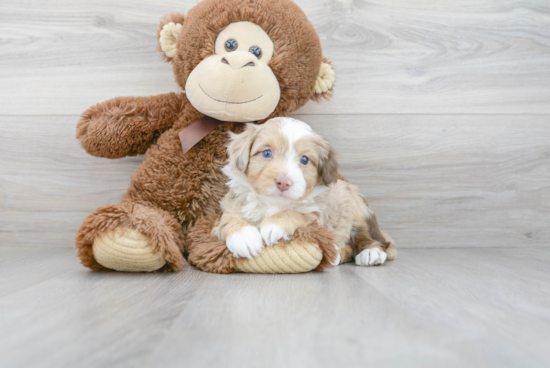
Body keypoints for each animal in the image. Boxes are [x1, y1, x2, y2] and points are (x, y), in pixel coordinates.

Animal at [211, 118, 396, 268]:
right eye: (267, 153)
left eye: (305, 160)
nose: (283, 182)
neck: (274, 204)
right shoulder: (233, 203)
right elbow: (229, 219)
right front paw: (244, 238)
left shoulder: (318, 216)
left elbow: (296, 213)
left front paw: (273, 225)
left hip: (358, 211)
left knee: (372, 239)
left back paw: (371, 253)